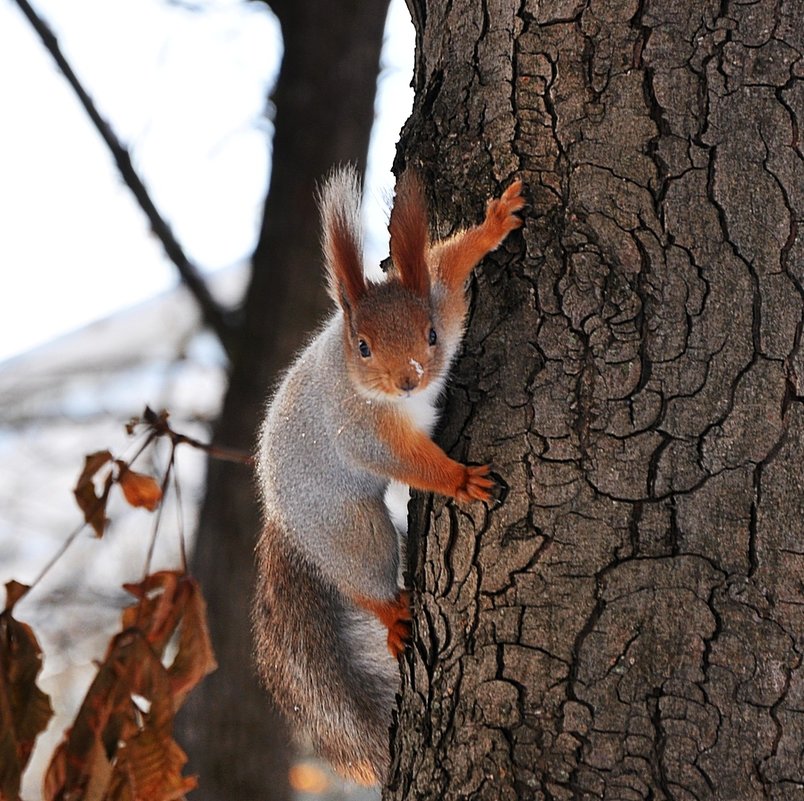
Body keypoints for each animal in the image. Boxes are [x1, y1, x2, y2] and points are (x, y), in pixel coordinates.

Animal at [253, 166, 528, 784]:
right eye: (362, 347)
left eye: (429, 335)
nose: (411, 379)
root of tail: (281, 519)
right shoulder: (361, 431)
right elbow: (406, 462)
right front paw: (459, 481)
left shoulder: (444, 301)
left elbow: (448, 261)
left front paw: (495, 223)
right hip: (349, 528)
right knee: (366, 575)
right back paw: (393, 613)